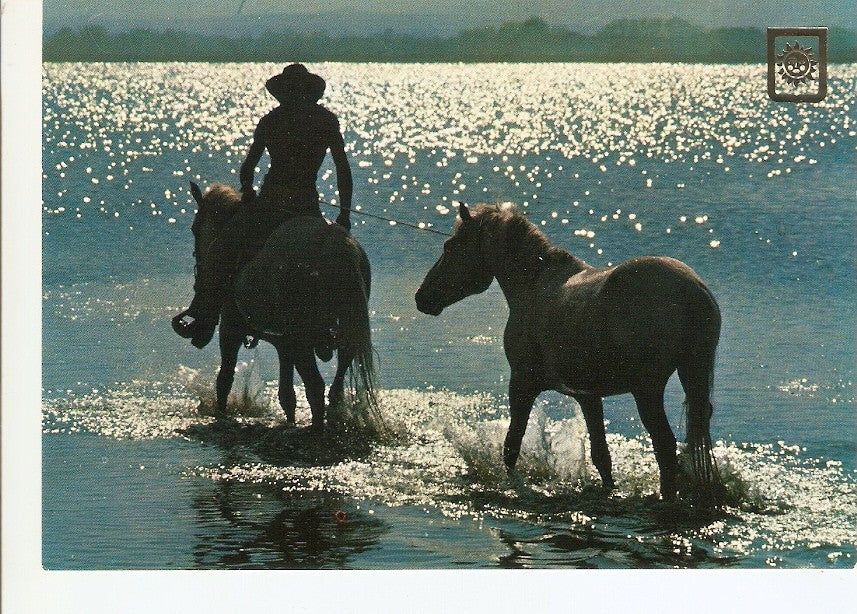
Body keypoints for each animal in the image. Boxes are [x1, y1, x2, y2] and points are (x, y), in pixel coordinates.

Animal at [182, 181, 377, 431]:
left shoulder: (230, 330)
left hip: (303, 340)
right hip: (345, 335)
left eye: (195, 228)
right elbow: (287, 395)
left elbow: (224, 379)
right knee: (335, 388)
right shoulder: (284, 344)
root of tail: (333, 244)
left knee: (316, 387)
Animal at [415, 203, 723, 503]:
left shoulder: (522, 384)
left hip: (647, 390)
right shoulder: (588, 396)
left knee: (665, 447)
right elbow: (602, 457)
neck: (533, 286)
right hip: (689, 374)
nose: (422, 297)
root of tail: (691, 288)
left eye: (450, 246)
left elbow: (511, 447)